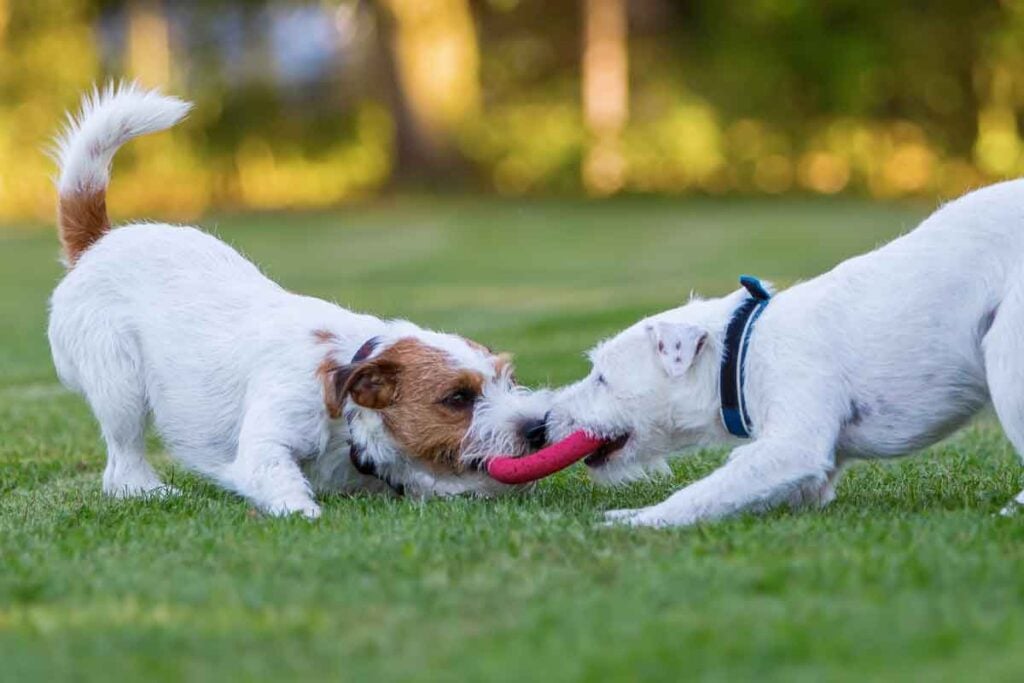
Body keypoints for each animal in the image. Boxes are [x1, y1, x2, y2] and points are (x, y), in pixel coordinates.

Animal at [46, 83, 552, 518]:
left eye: (509, 379)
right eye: (457, 398)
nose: (537, 428)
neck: (344, 402)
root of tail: (98, 241)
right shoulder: (266, 441)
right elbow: (276, 475)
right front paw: (302, 511)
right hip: (121, 388)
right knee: (121, 465)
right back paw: (151, 491)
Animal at [548, 183, 1024, 528]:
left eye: (602, 377)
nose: (542, 422)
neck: (740, 350)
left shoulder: (793, 444)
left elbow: (702, 491)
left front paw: (635, 520)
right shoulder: (808, 474)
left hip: (1007, 357)